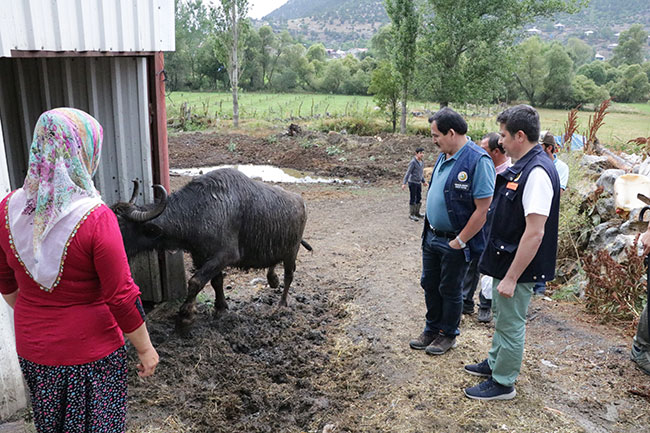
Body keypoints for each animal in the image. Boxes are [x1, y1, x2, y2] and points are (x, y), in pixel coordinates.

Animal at [111, 167, 312, 330]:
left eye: (121, 226)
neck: (201, 210)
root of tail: (301, 202)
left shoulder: (225, 255)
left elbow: (195, 281)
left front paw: (185, 316)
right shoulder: (202, 256)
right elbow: (216, 281)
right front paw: (220, 307)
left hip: (291, 252)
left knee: (289, 276)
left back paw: (281, 304)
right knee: (274, 265)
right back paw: (272, 279)